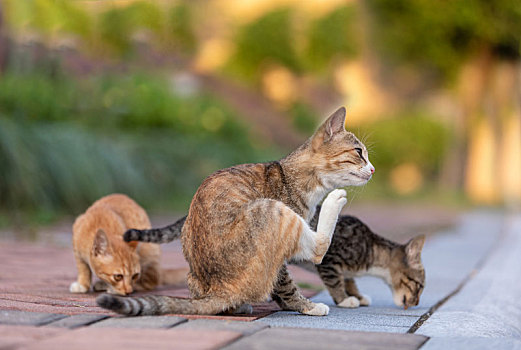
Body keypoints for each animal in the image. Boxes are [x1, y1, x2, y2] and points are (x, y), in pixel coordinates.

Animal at [96, 107, 374, 318]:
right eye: (358, 152)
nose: (372, 169)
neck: (295, 178)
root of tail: (220, 289)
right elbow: (287, 284)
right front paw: (307, 306)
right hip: (271, 209)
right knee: (318, 248)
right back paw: (334, 200)